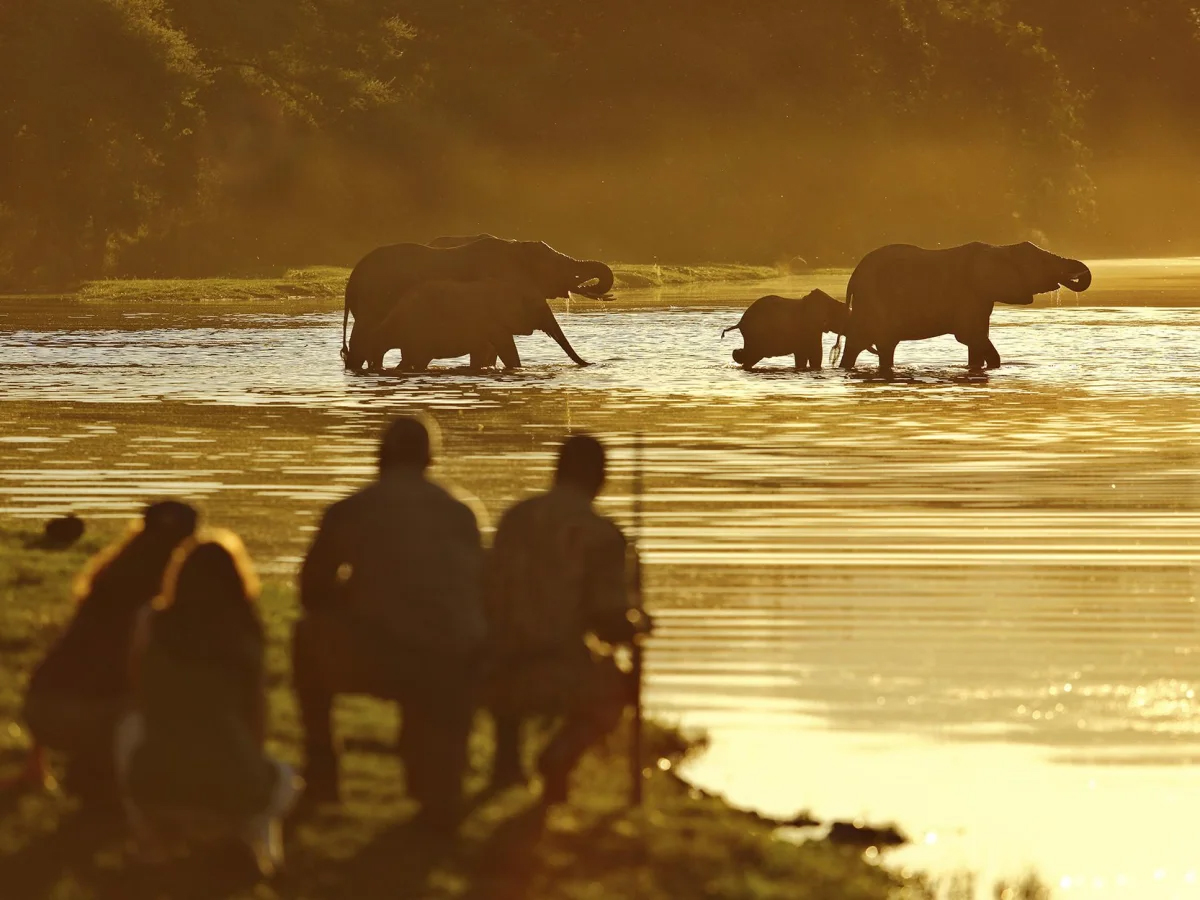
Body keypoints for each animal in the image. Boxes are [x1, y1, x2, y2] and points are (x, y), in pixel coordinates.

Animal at [359, 276, 590, 372]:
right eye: (538, 308)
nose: (591, 364)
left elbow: (482, 352)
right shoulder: (495, 322)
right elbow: (506, 349)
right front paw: (517, 370)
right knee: (416, 360)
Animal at [839, 241, 1092, 376]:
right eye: (1041, 263)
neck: (1000, 250)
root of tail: (854, 277)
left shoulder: (981, 298)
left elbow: (976, 341)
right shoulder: (970, 294)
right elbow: (970, 336)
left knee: (878, 346)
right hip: (872, 302)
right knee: (864, 343)